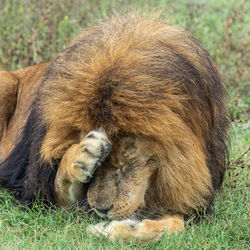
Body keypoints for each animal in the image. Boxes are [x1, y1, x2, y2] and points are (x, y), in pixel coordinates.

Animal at [0, 13, 229, 240]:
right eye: (96, 169)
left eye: (123, 166)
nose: (101, 210)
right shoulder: (36, 191)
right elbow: (61, 177)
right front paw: (83, 154)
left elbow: (175, 224)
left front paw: (118, 229)